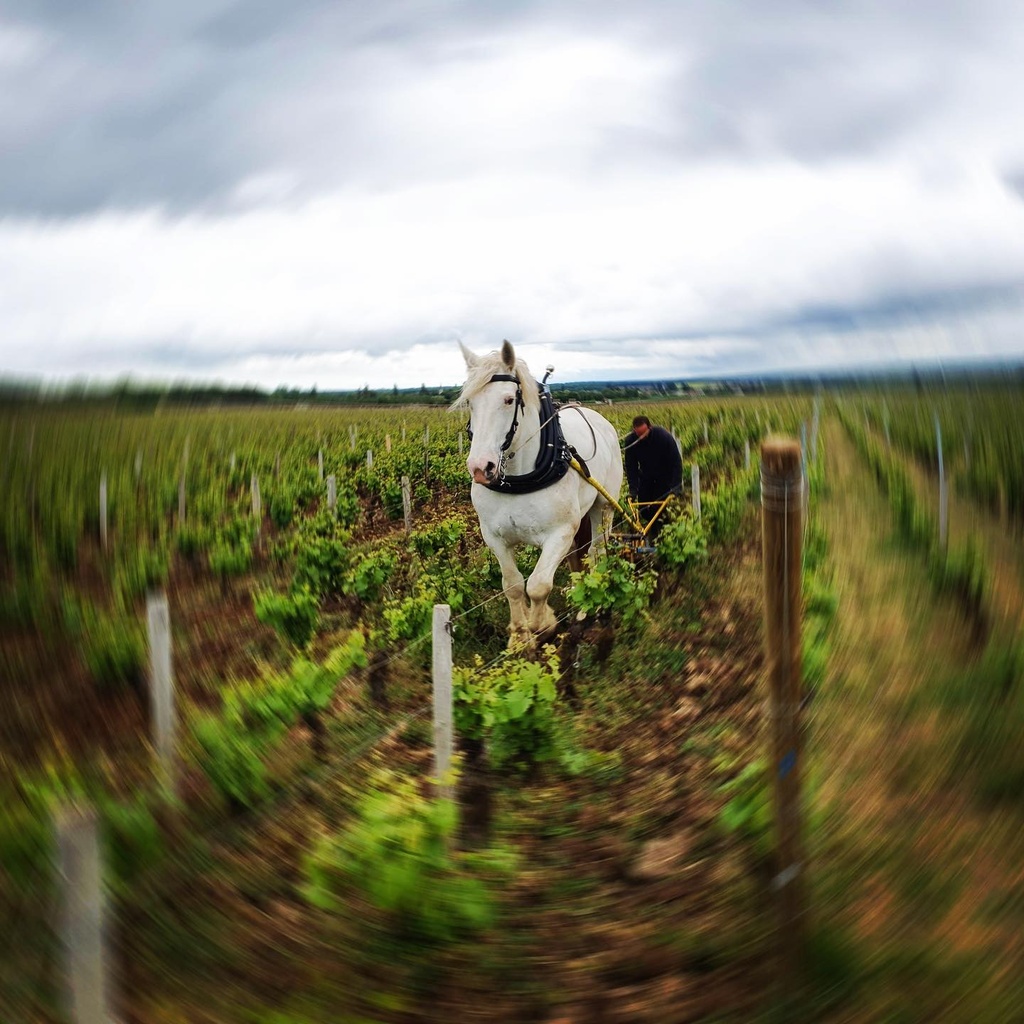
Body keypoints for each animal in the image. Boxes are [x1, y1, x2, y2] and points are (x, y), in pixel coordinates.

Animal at [453, 340, 624, 647]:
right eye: (471, 403)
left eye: (509, 400)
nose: (481, 468)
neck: (518, 479)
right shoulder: (493, 536)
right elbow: (512, 585)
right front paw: (519, 636)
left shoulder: (560, 532)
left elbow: (538, 585)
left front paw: (542, 625)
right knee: (579, 555)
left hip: (603, 506)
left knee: (596, 552)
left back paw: (589, 606)